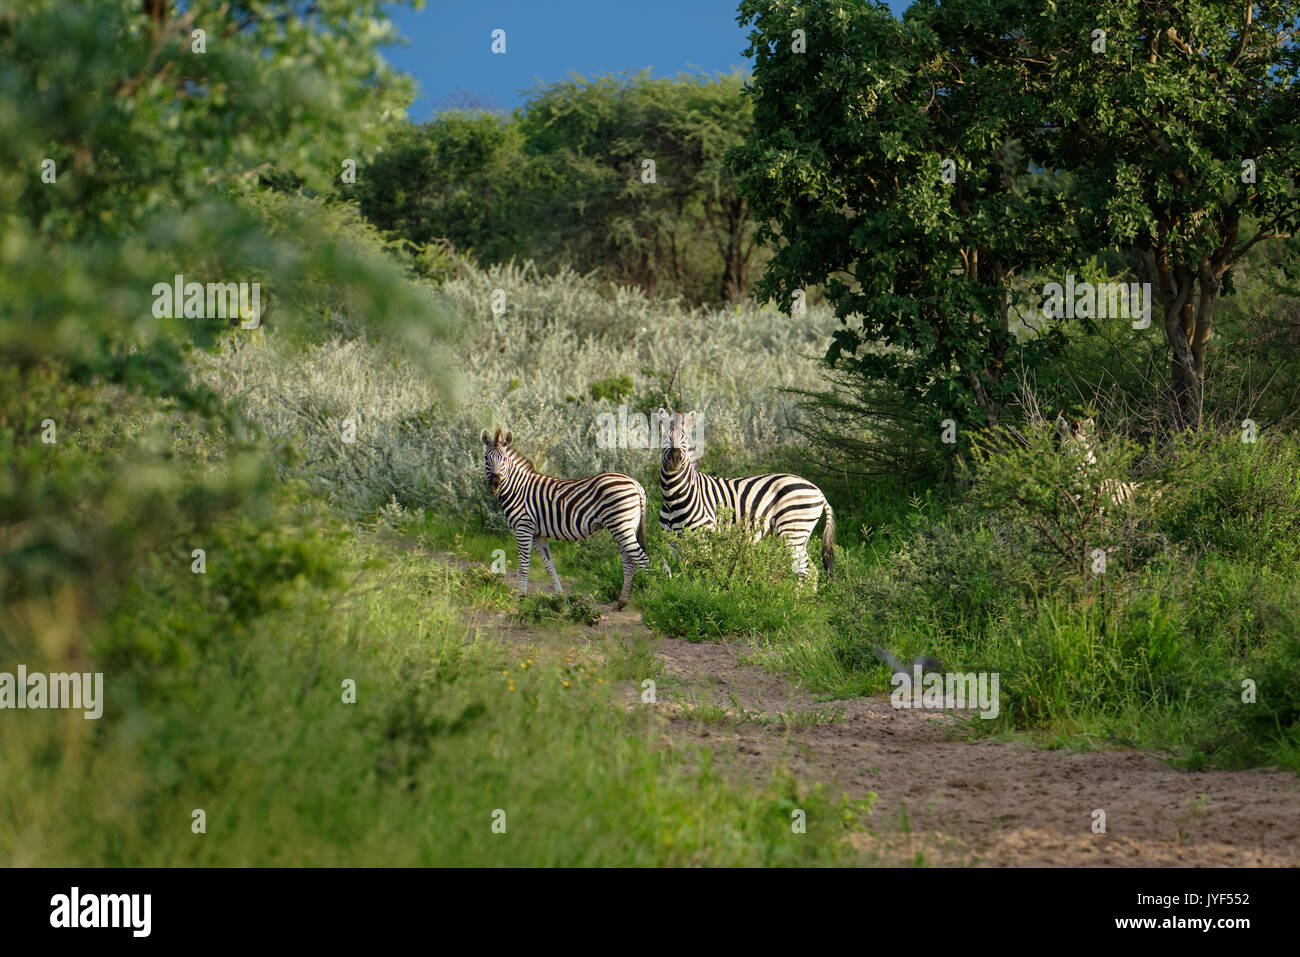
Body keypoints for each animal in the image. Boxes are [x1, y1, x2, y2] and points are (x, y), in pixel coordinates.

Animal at [478, 429, 650, 608]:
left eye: (504, 459)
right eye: (486, 458)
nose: (495, 484)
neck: (518, 488)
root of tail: (635, 483)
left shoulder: (524, 527)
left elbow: (524, 563)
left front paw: (521, 597)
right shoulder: (538, 533)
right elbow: (549, 564)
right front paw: (560, 596)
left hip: (620, 525)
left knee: (642, 558)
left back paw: (649, 596)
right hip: (626, 526)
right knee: (630, 560)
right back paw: (622, 601)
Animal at [655, 410, 837, 582]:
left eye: (685, 438)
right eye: (665, 437)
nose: (675, 458)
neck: (672, 499)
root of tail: (818, 491)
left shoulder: (704, 536)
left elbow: (701, 572)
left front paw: (705, 590)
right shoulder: (672, 541)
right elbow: (677, 575)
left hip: (793, 530)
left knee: (806, 570)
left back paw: (796, 596)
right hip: (800, 534)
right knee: (811, 570)